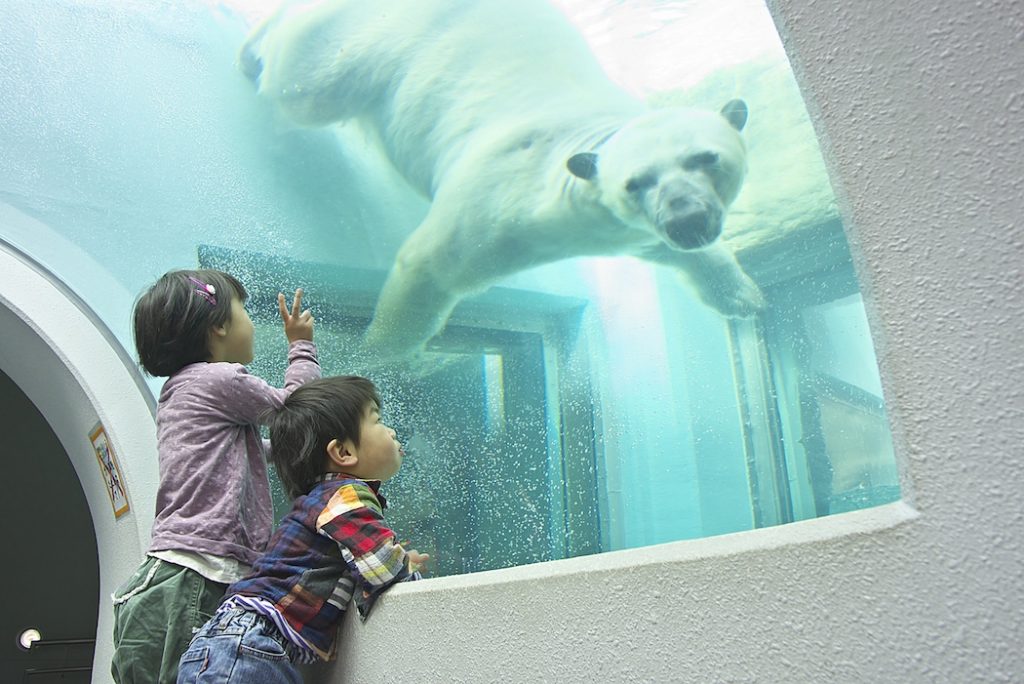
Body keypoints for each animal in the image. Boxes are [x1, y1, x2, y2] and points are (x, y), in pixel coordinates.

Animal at [243, 0, 765, 360]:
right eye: (635, 182)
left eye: (706, 157)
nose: (688, 220)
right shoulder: (505, 196)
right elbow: (433, 263)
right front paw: (378, 351)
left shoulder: (627, 232)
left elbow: (674, 252)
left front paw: (744, 296)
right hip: (377, 38)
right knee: (308, 79)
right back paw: (254, 44)